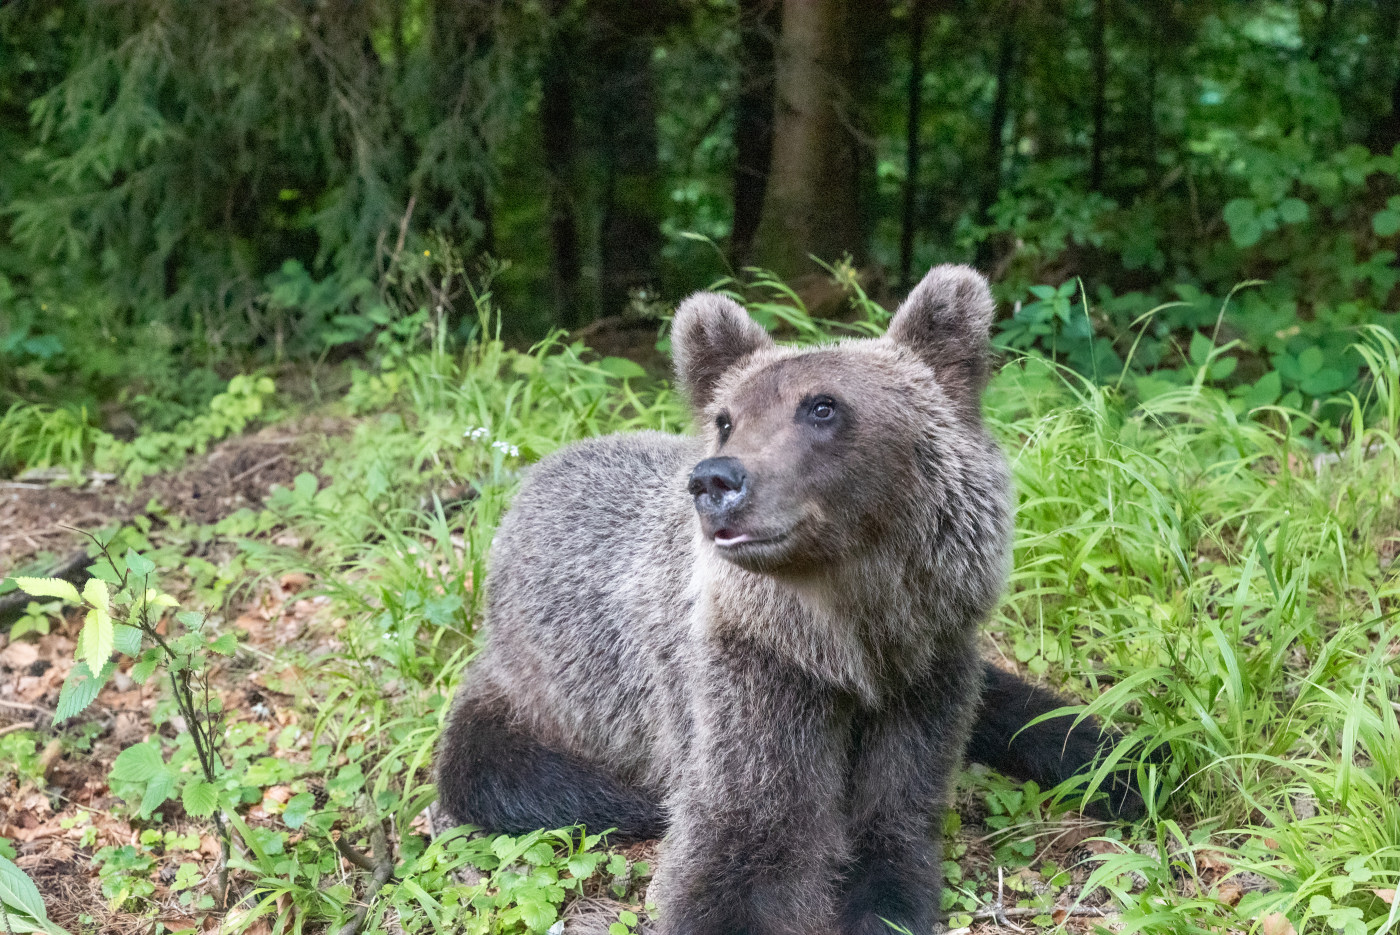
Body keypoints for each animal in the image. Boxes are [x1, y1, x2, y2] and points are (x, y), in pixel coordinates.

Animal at [436, 265, 1144, 934]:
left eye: (822, 407)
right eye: (727, 420)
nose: (715, 481)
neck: (846, 638)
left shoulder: (926, 666)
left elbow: (899, 816)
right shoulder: (754, 675)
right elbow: (744, 838)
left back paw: (1127, 764)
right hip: (543, 691)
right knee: (507, 774)